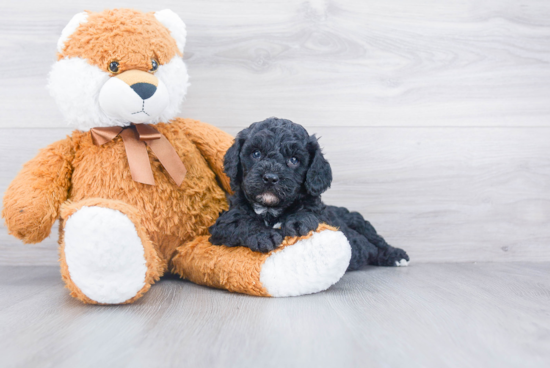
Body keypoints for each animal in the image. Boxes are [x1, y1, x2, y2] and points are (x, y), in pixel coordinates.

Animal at [209, 118, 412, 270]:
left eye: (294, 160)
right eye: (256, 153)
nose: (270, 178)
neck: (270, 209)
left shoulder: (323, 216)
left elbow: (309, 211)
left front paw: (297, 222)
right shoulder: (222, 225)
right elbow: (241, 221)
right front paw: (263, 236)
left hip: (360, 222)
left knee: (378, 241)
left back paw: (396, 255)